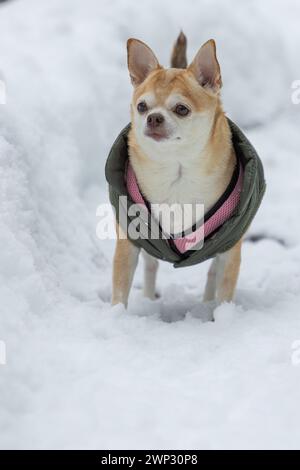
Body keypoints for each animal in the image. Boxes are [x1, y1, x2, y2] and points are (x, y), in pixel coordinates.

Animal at [111, 35, 243, 310]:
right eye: (142, 106)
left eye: (182, 109)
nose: (153, 117)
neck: (176, 167)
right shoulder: (129, 240)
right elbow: (119, 289)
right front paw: (115, 315)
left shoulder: (229, 246)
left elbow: (224, 289)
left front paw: (222, 316)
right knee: (151, 266)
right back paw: (148, 299)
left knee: (212, 274)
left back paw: (207, 305)